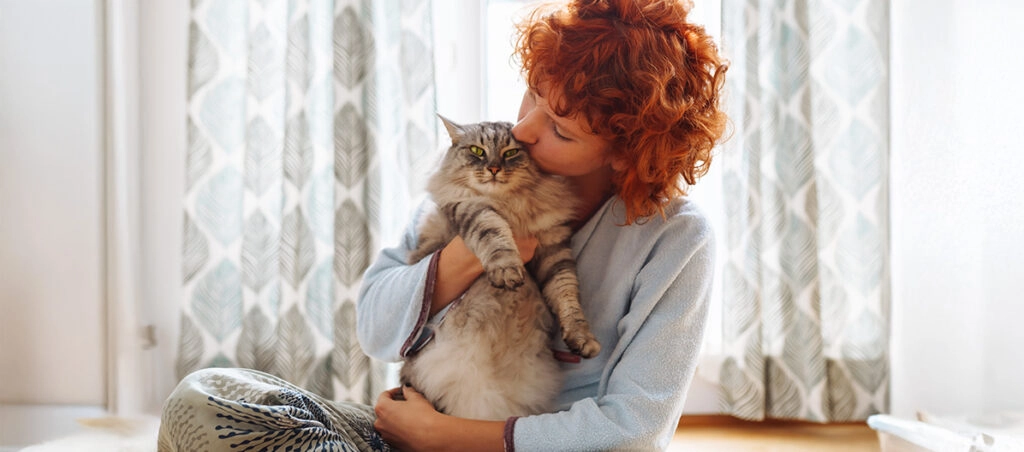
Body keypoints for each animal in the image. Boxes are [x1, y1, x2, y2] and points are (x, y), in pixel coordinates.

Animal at [399, 117, 601, 421]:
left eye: (511, 153)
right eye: (477, 151)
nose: (493, 168)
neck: (511, 202)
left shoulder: (553, 248)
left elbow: (567, 296)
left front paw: (581, 338)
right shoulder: (472, 209)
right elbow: (495, 236)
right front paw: (506, 272)